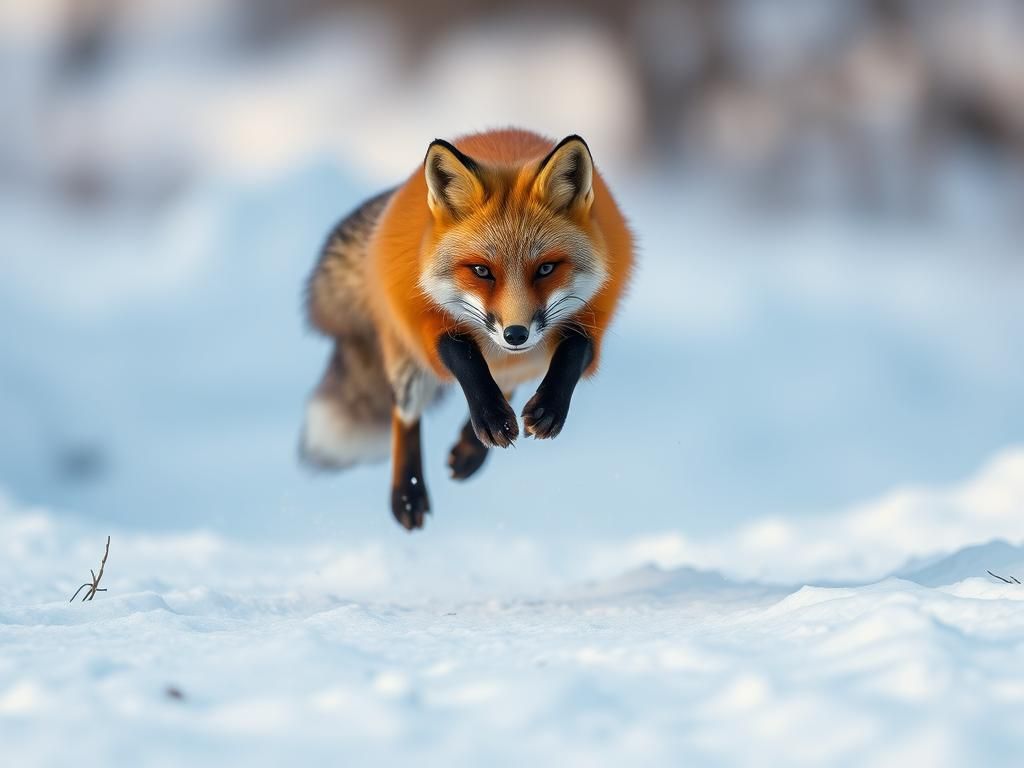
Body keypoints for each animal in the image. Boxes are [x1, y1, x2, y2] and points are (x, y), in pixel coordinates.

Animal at [301, 128, 634, 530]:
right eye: (481, 271)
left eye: (546, 269)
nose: (516, 335)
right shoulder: (423, 322)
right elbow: (462, 354)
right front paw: (490, 417)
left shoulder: (592, 316)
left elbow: (575, 349)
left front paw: (547, 408)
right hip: (407, 365)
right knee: (406, 416)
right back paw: (408, 493)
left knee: (508, 382)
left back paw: (470, 449)